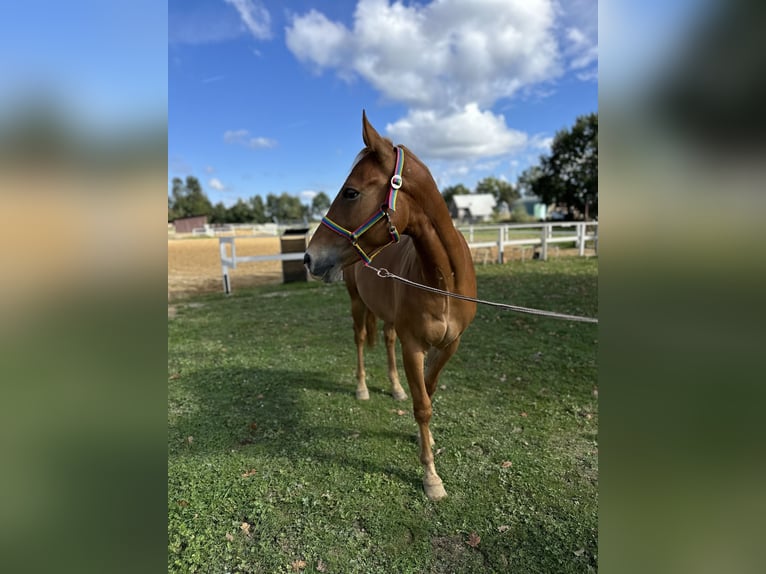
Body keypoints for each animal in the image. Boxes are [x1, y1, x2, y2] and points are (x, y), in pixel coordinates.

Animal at [304, 110, 476, 502]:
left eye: (351, 192)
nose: (308, 257)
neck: (443, 281)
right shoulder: (414, 345)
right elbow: (423, 405)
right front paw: (431, 477)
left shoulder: (451, 344)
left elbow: (428, 390)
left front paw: (423, 439)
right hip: (356, 305)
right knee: (359, 342)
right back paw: (363, 389)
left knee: (385, 340)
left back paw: (395, 387)